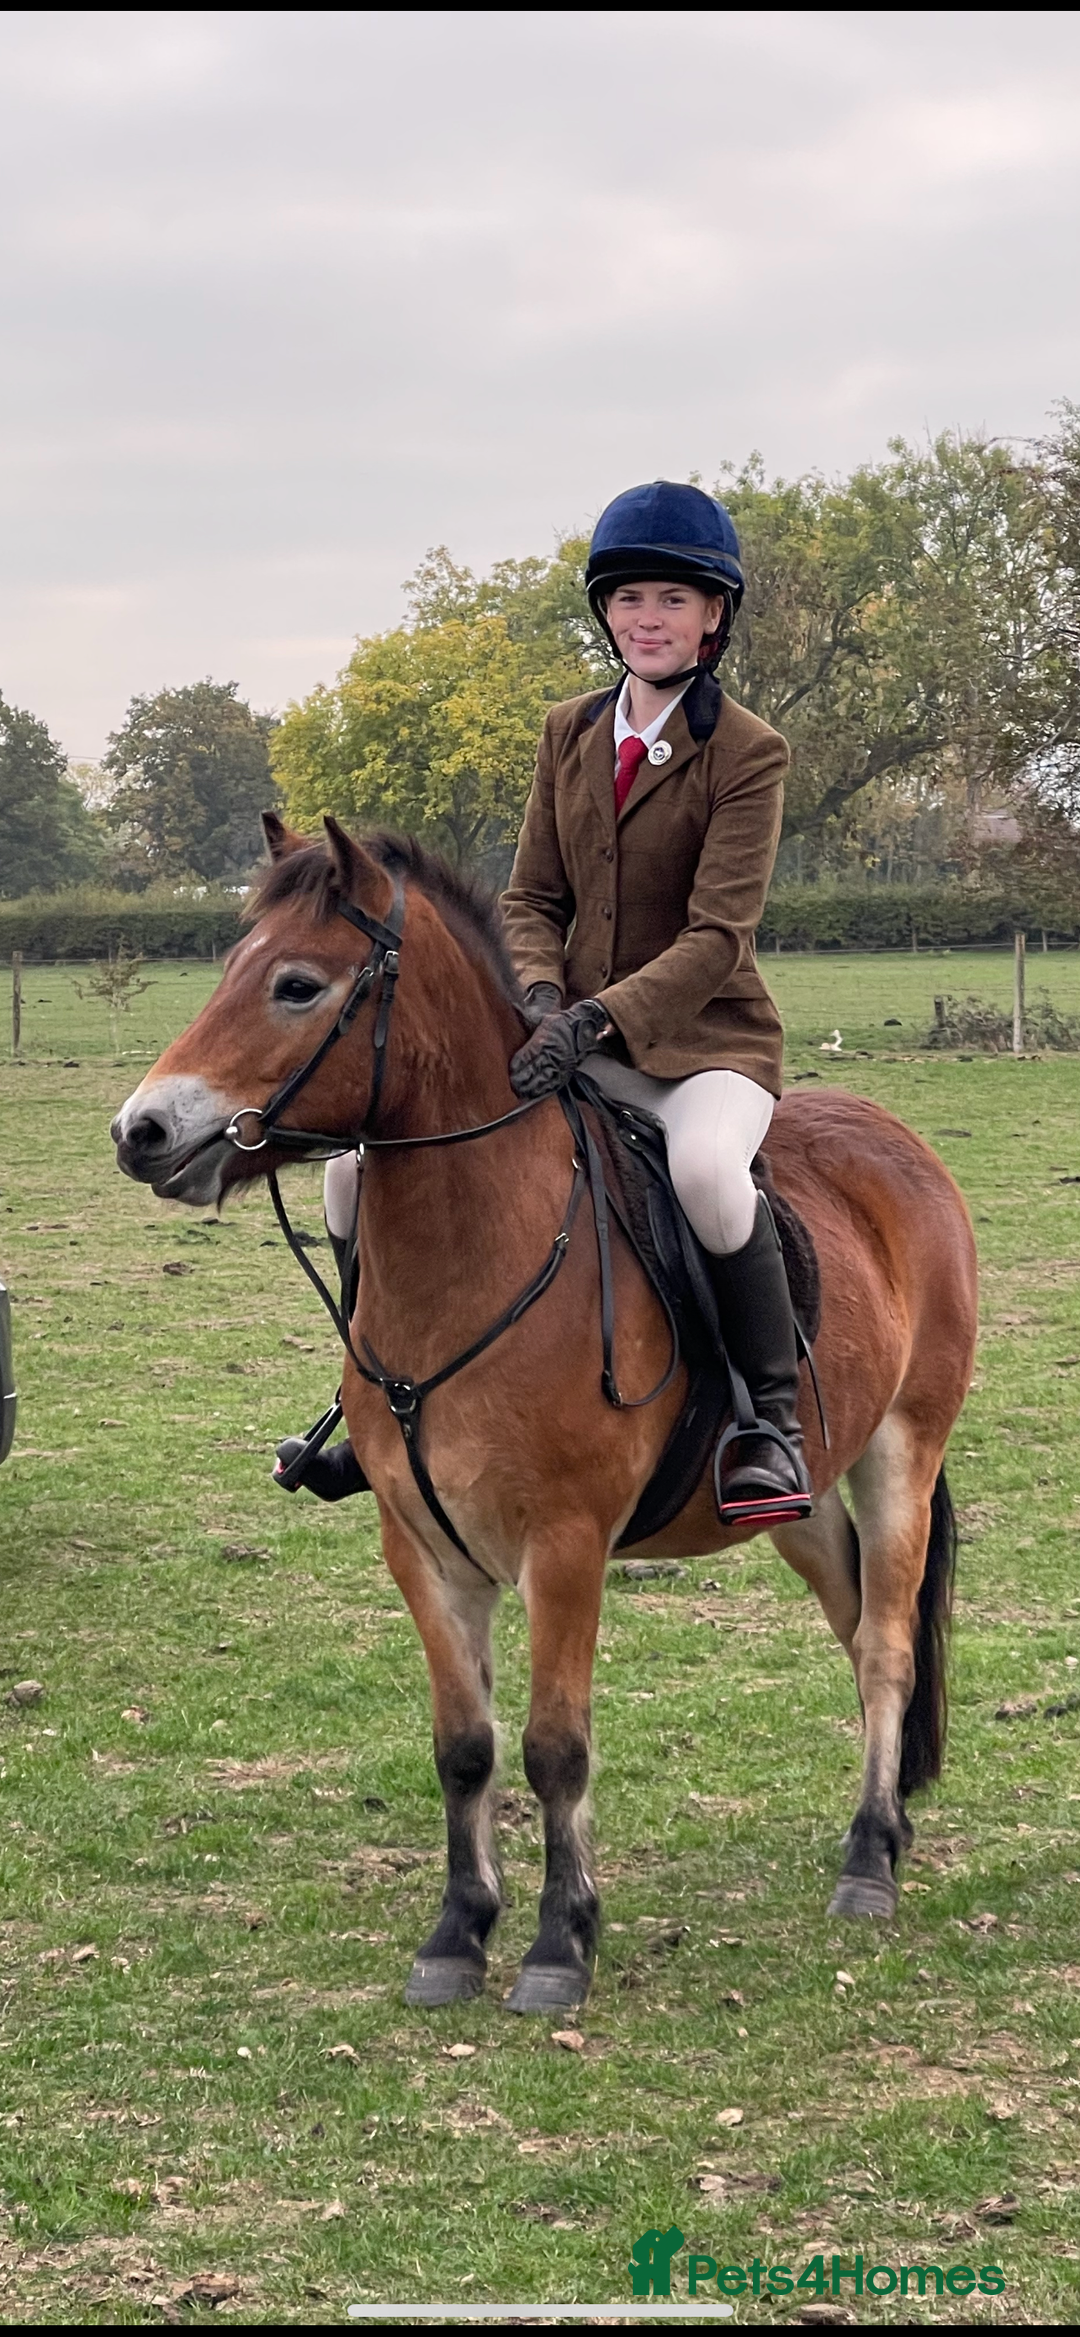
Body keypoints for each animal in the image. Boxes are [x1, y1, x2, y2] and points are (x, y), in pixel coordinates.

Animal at [112, 814, 978, 2013]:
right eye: (231, 965)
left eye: (295, 985)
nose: (140, 1131)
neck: (479, 1250)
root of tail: (901, 1148)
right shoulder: (423, 1546)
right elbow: (464, 1747)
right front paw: (456, 1933)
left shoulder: (563, 1546)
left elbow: (554, 1745)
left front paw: (561, 1942)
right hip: (799, 1499)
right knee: (855, 1635)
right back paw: (884, 1833)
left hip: (903, 1450)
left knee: (889, 1646)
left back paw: (866, 1865)